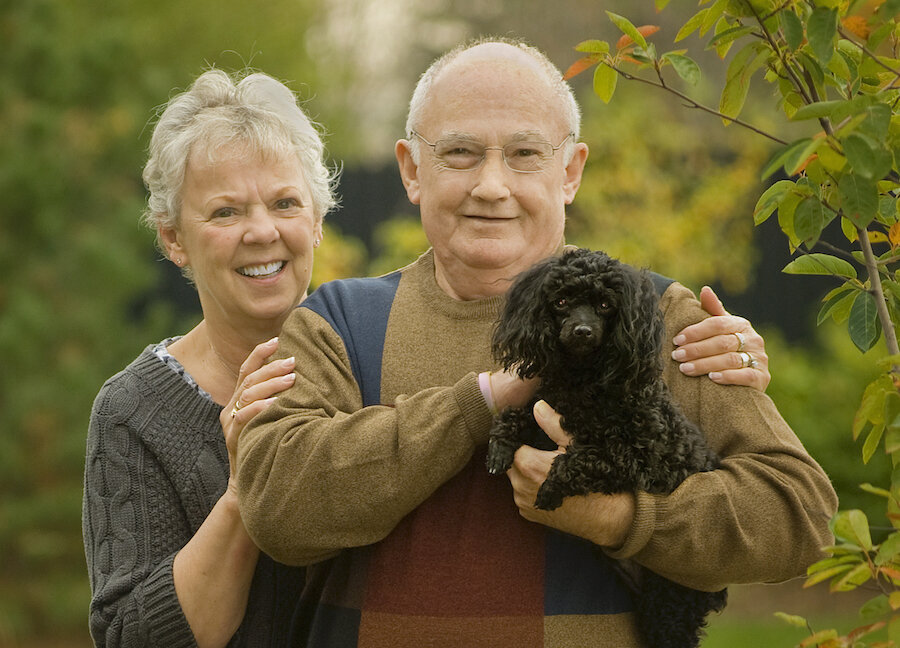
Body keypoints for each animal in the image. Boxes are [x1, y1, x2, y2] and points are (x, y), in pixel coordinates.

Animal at [488, 247, 728, 648]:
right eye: (561, 301)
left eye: (604, 305)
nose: (582, 331)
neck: (584, 385)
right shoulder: (546, 407)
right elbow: (518, 415)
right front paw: (500, 447)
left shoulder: (642, 457)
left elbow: (583, 459)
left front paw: (549, 489)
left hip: (671, 603)